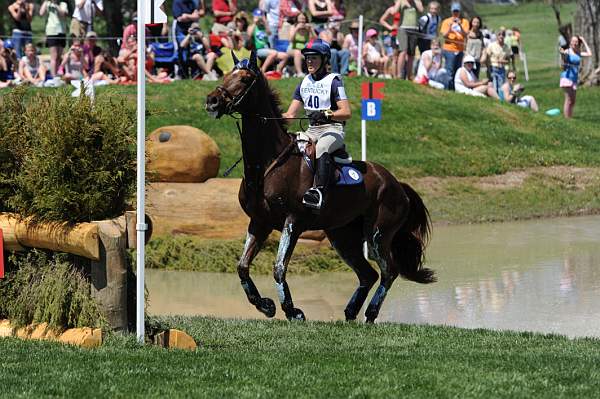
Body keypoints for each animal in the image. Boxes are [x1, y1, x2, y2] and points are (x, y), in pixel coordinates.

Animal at [204, 51, 434, 324]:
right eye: (226, 75)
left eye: (245, 78)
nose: (212, 101)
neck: (268, 163)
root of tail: (397, 184)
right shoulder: (259, 221)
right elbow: (242, 266)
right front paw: (266, 306)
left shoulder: (293, 221)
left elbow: (279, 268)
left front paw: (293, 311)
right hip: (342, 236)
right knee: (368, 274)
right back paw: (351, 312)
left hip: (378, 233)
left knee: (389, 271)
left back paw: (370, 314)